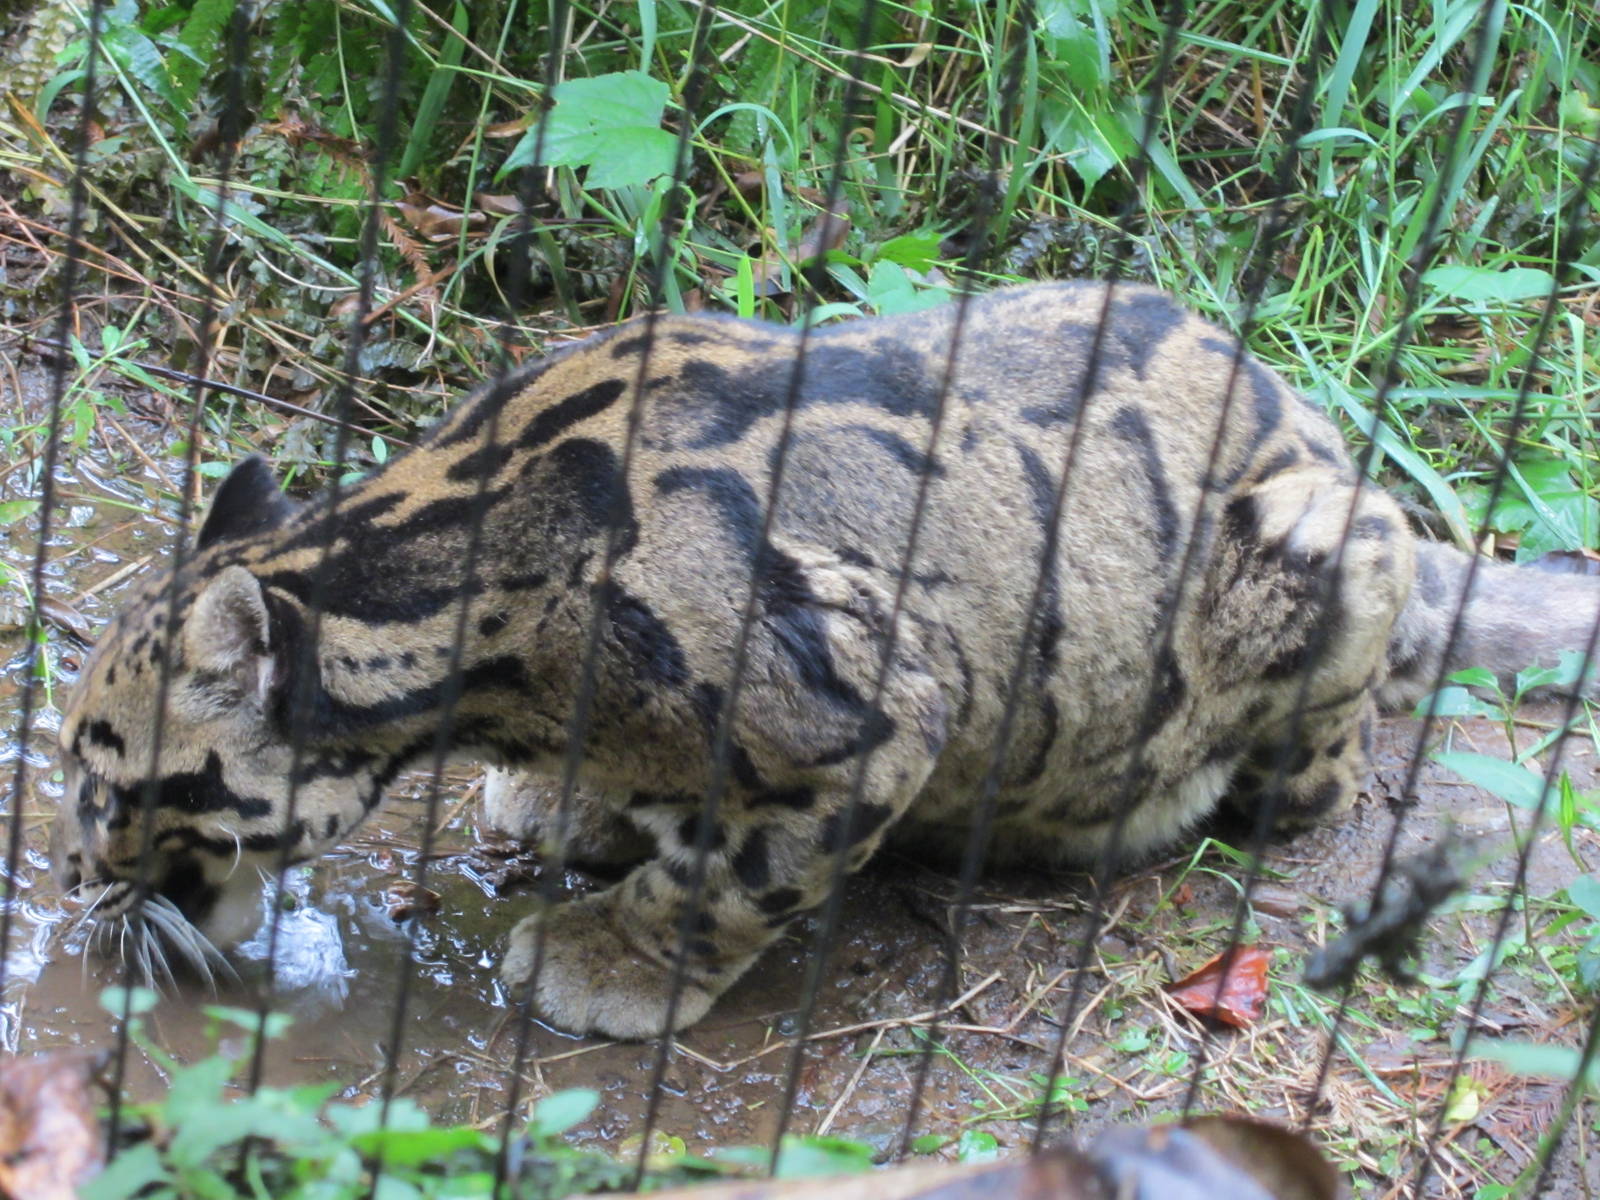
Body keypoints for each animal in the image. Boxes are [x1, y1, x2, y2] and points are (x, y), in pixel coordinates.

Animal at [51, 282, 1600, 1039]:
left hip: (1324, 553)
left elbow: (727, 880)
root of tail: (1324, 432)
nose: (70, 885)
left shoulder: (873, 700)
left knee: (1325, 767)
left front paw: (612, 961)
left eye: (106, 790)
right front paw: (579, 808)